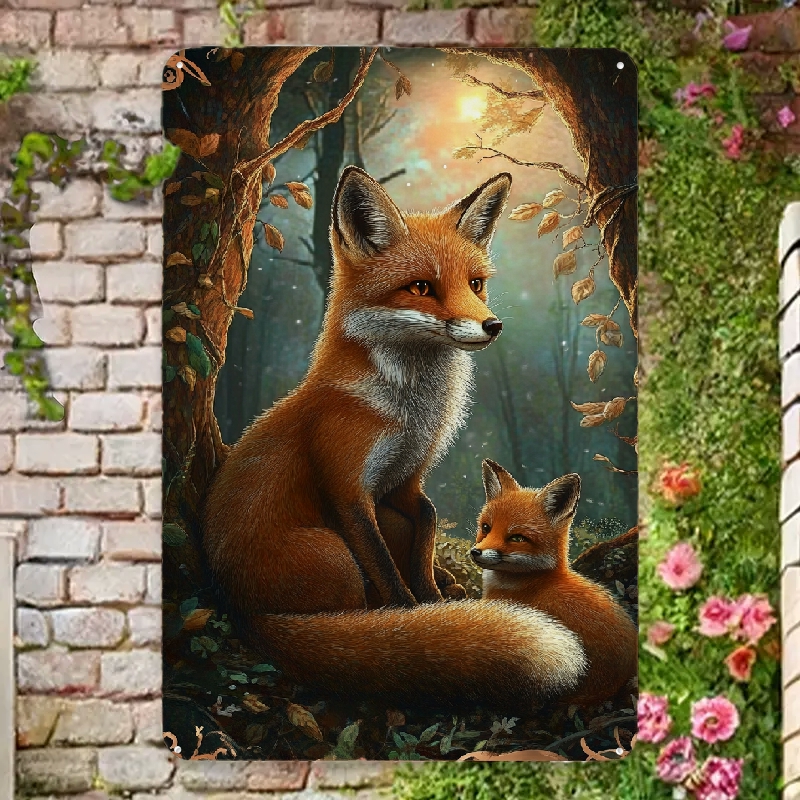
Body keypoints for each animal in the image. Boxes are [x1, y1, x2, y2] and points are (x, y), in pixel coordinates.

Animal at [202, 167, 588, 711]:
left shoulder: (406, 480)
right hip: (333, 554)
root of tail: (240, 609)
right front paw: (414, 616)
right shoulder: (348, 491)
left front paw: (432, 594)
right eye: (421, 287)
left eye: (475, 284)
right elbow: (386, 570)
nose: (492, 325)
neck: (407, 415)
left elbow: (426, 520)